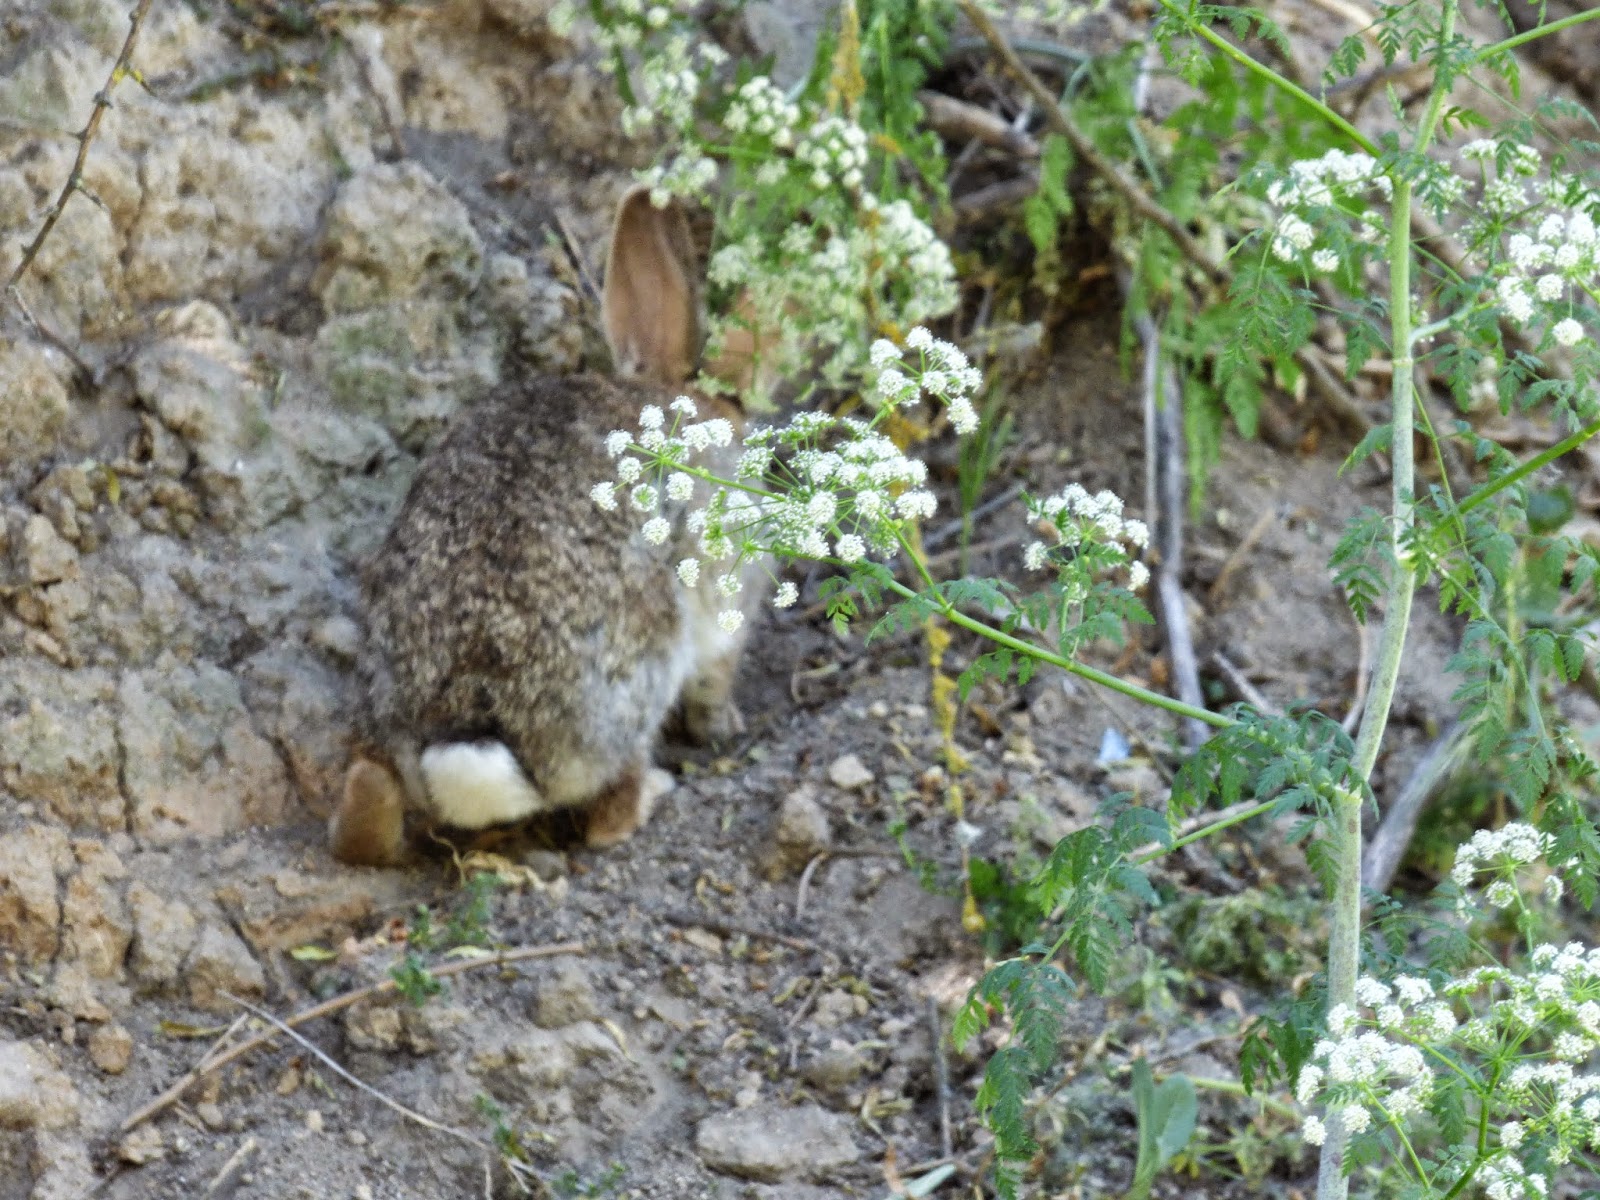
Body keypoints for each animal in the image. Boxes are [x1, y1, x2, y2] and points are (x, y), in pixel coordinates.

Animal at [328, 185, 764, 864]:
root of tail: (470, 731)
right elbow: (717, 671)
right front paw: (722, 726)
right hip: (639, 669)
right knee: (609, 816)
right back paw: (655, 791)